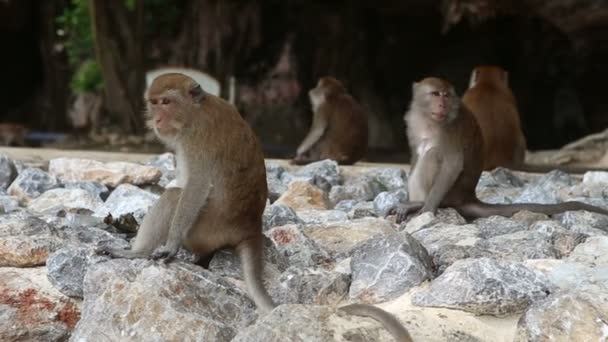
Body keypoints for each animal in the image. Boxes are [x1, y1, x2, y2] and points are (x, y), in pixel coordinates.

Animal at [99, 72, 276, 312]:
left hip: (203, 232)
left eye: (166, 102)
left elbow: (196, 186)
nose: (157, 120)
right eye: (154, 103)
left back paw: (137, 252)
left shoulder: (197, 138)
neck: (195, 110)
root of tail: (249, 228)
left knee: (174, 197)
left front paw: (170, 245)